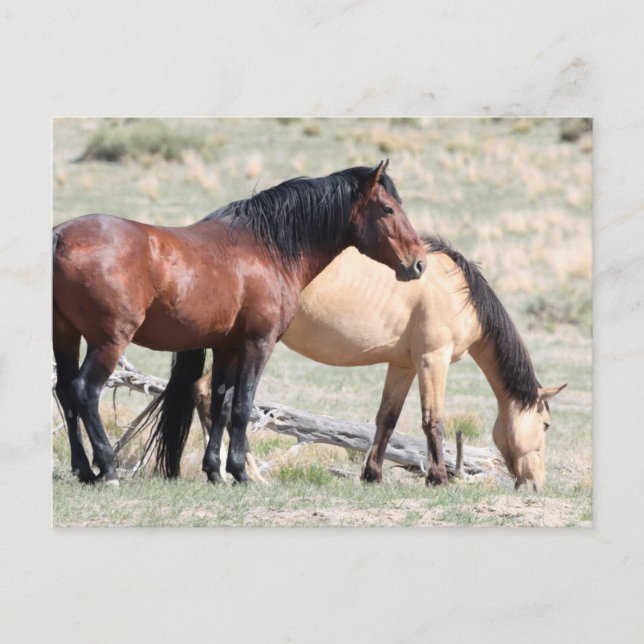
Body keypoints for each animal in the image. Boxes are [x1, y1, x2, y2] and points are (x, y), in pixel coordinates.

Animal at [52, 161, 427, 486]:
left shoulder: (227, 348)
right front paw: (240, 472)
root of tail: (61, 236)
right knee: (85, 391)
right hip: (110, 341)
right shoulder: (258, 344)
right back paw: (108, 468)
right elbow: (244, 405)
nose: (419, 263)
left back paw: (84, 470)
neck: (267, 248)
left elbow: (221, 404)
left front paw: (215, 472)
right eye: (388, 209)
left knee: (66, 392)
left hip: (65, 337)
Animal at [192, 235, 566, 491]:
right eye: (546, 424)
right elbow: (433, 420)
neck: (458, 292)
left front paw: (372, 474)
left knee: (206, 393)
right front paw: (438, 477)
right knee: (217, 397)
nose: (535, 484)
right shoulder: (433, 359)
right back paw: (241, 472)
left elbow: (387, 418)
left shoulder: (404, 366)